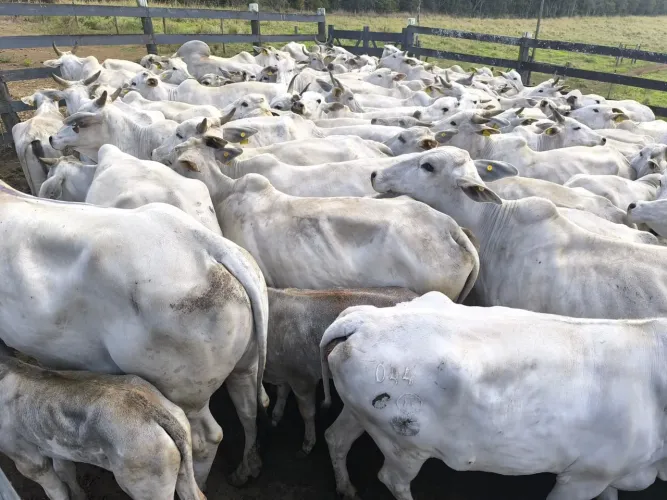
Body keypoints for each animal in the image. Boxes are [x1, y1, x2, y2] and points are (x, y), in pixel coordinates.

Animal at [0, 347, 204, 500]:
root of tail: (150, 407)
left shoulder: (27, 459)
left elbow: (56, 491)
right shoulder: (55, 448)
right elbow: (66, 472)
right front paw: (80, 496)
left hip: (146, 486)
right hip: (181, 469)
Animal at [265, 287, 418, 454]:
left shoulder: (303, 379)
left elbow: (307, 413)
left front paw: (308, 443)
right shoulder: (285, 373)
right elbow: (282, 393)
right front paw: (275, 417)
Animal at [320, 291, 667, 500]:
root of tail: (364, 320)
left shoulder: (610, 475)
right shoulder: (584, 476)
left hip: (358, 413)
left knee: (336, 438)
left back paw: (345, 487)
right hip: (405, 446)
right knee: (392, 479)